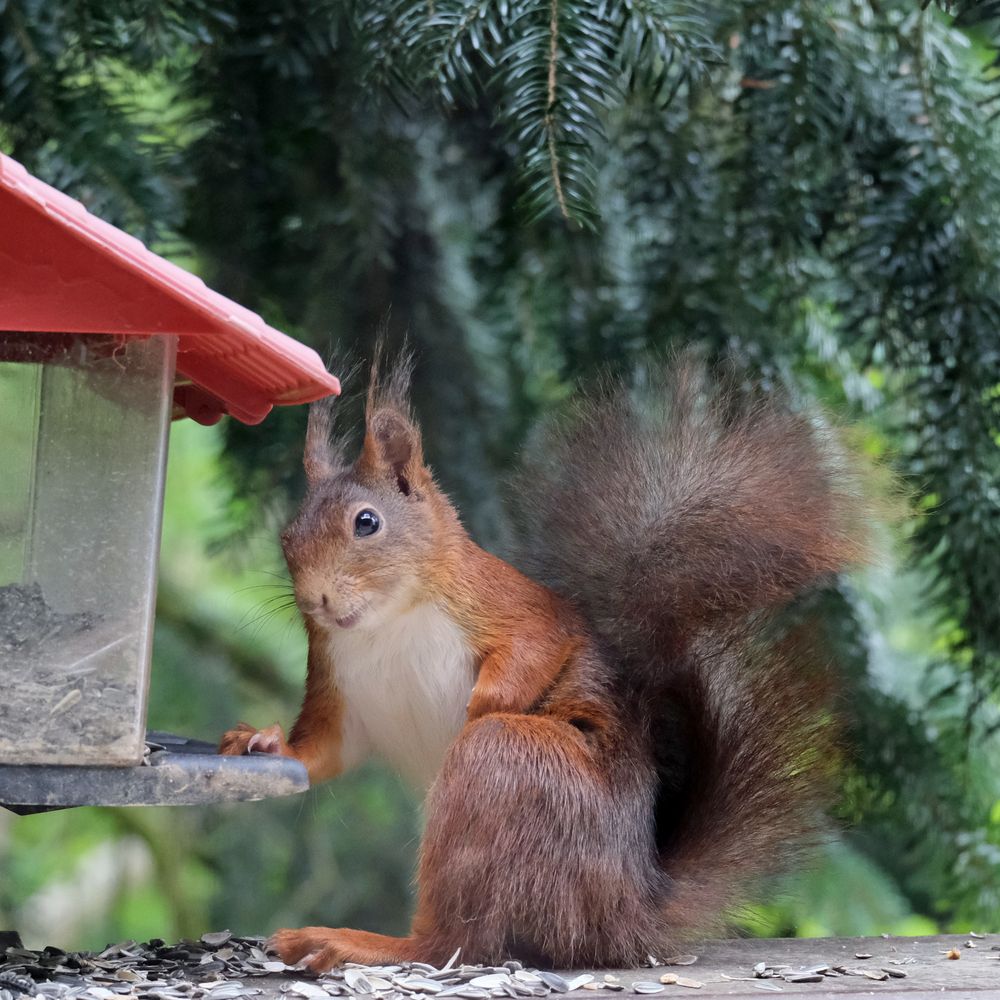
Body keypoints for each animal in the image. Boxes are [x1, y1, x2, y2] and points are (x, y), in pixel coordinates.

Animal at [221, 354, 876, 968]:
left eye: (367, 522)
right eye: (287, 537)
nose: (316, 601)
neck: (385, 623)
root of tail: (624, 914)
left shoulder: (506, 605)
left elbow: (535, 648)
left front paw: (480, 704)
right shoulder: (337, 677)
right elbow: (326, 747)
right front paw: (263, 740)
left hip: (506, 768)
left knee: (457, 940)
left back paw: (360, 942)